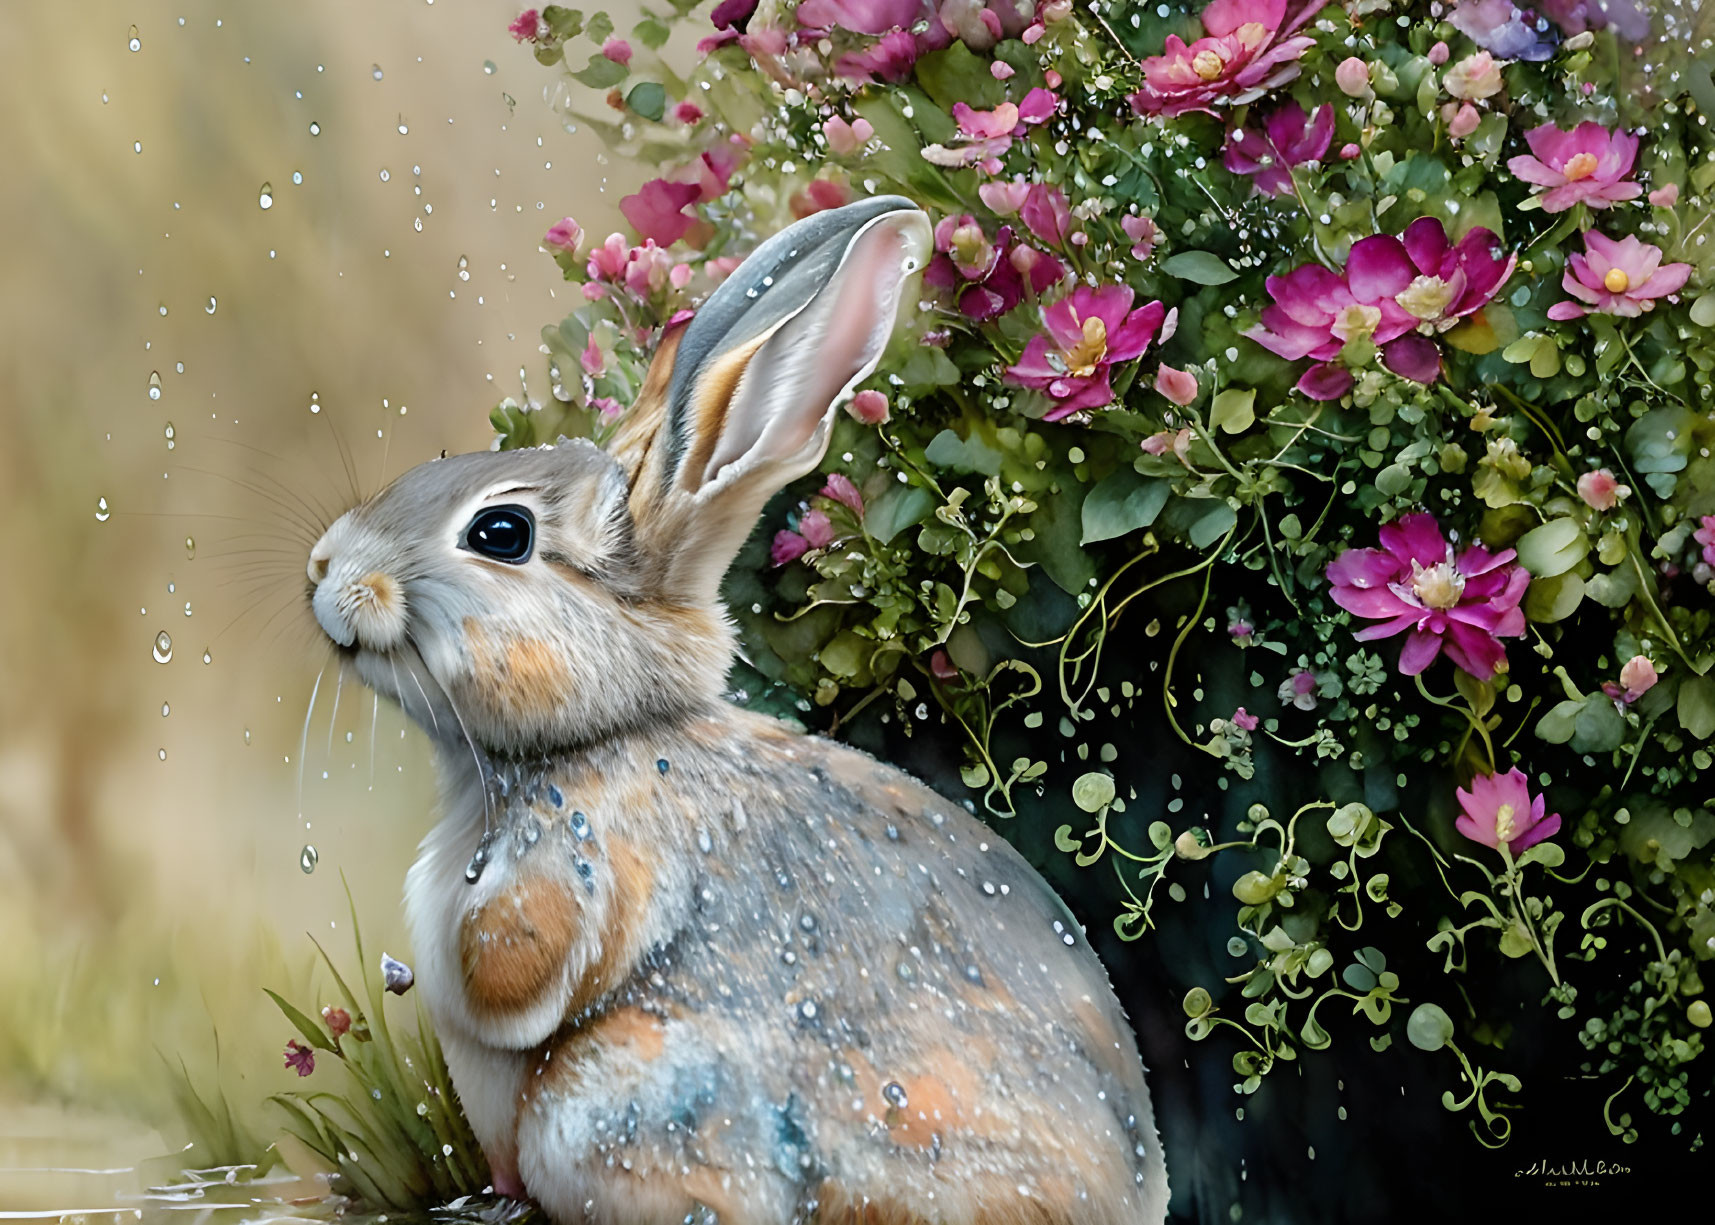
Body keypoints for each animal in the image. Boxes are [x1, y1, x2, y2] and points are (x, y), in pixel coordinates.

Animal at [305, 198, 1166, 1221]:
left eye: (500, 532)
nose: (325, 569)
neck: (598, 735)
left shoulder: (586, 856)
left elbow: (514, 974)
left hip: (625, 1095)